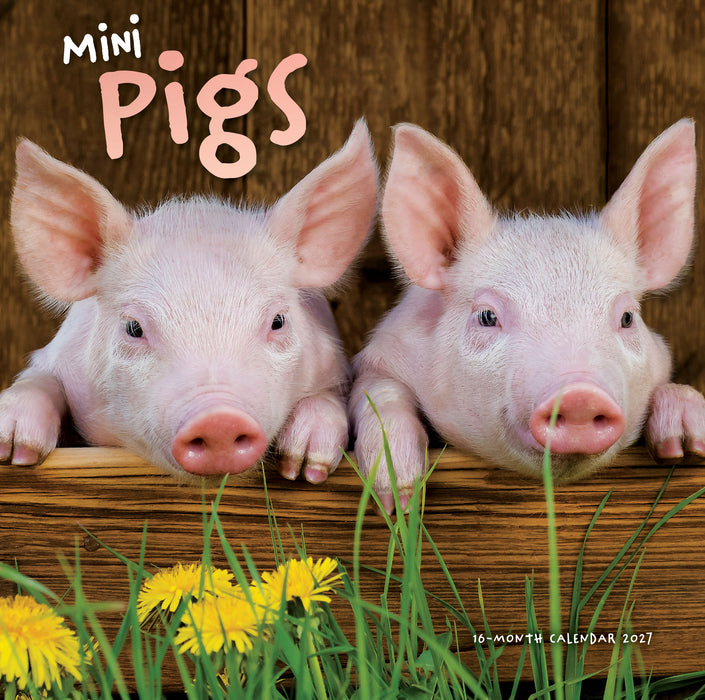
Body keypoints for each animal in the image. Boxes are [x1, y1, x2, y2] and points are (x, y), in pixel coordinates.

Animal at [0, 120, 378, 484]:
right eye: (134, 328)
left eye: (278, 321)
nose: (219, 420)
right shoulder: (56, 357)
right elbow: (38, 381)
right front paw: (15, 451)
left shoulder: (333, 366)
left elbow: (327, 398)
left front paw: (304, 468)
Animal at [351, 119, 705, 512]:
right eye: (487, 316)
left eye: (628, 317)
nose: (580, 395)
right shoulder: (379, 358)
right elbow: (379, 392)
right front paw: (399, 499)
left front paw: (685, 445)